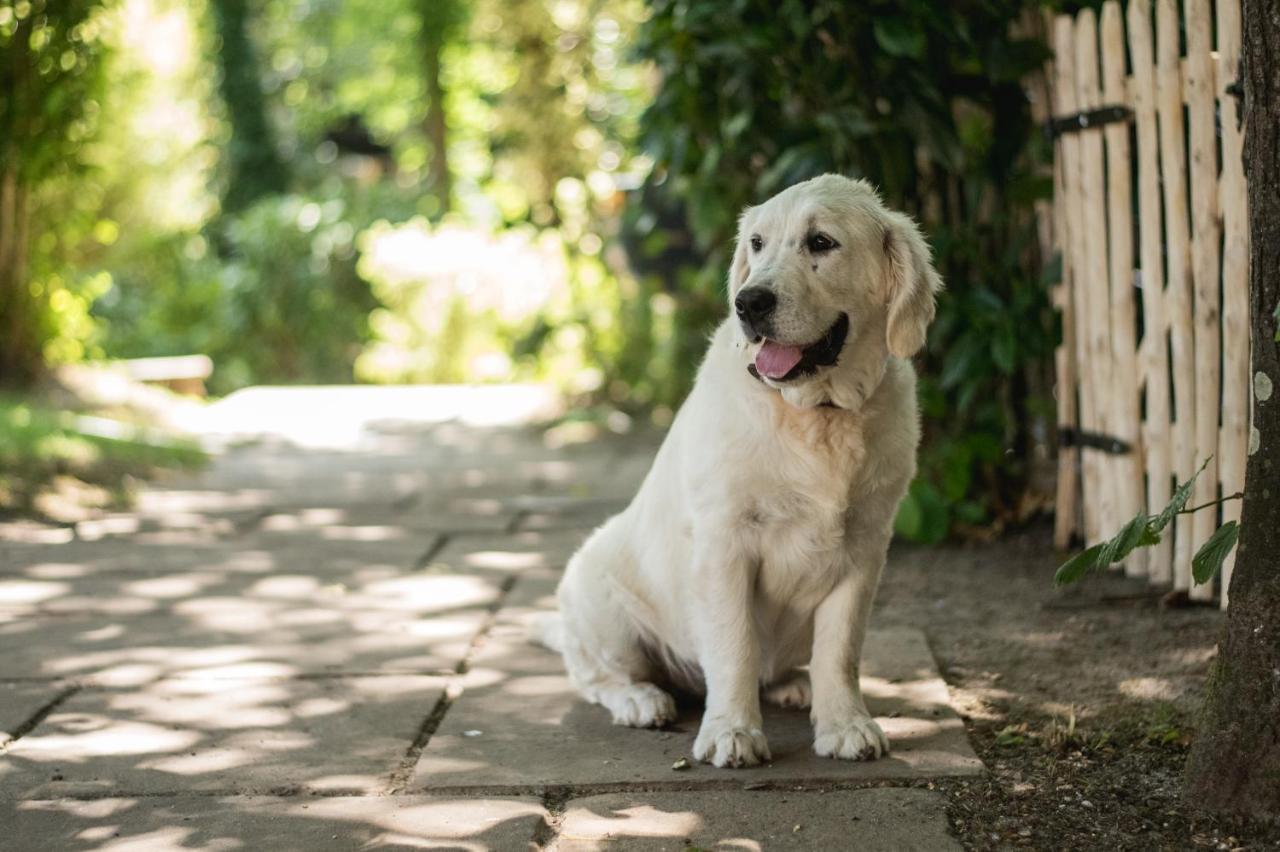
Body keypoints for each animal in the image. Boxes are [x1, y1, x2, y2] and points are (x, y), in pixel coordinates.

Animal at [535, 172, 947, 762]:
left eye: (821, 242)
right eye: (756, 244)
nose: (748, 303)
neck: (818, 413)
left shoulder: (867, 545)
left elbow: (840, 649)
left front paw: (845, 724)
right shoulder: (725, 541)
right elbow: (734, 645)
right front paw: (732, 731)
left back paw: (794, 684)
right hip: (600, 601)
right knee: (594, 676)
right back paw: (640, 699)